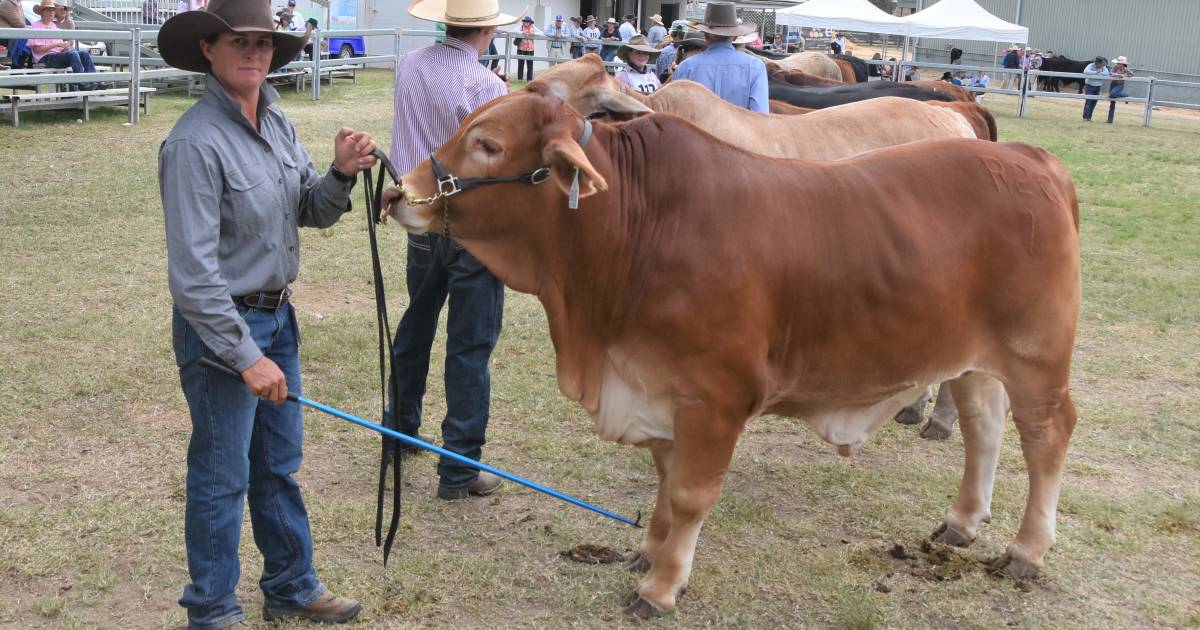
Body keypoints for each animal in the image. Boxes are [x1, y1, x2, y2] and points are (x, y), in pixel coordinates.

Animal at [386, 85, 1089, 614]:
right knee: (983, 427)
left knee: (1046, 434)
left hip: (1036, 356)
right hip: (971, 359)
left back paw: (1026, 551)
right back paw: (962, 522)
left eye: (487, 145)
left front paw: (661, 586)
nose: (397, 190)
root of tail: (1033, 158)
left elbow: (691, 494)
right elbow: (665, 481)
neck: (633, 231)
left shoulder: (714, 398)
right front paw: (649, 549)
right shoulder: (661, 390)